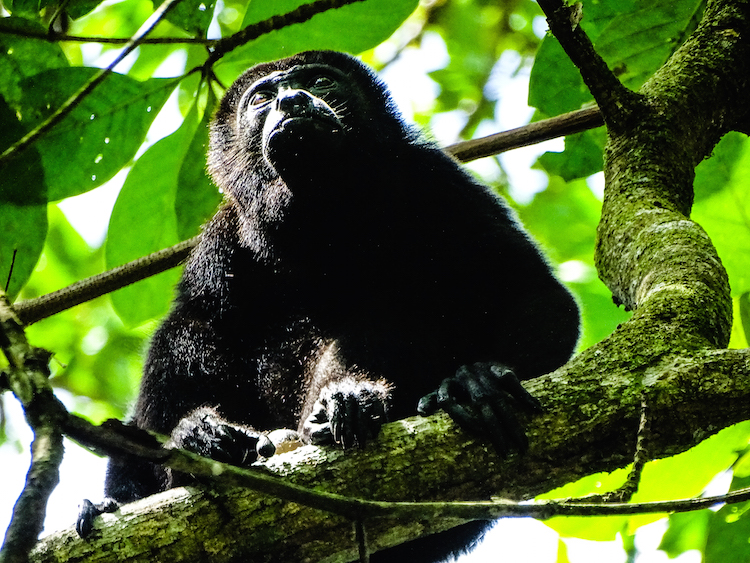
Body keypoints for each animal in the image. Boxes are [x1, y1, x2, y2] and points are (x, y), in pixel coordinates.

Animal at [78, 50, 580, 560]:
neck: (326, 219)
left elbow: (537, 297)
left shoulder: (440, 184)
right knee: (187, 338)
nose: (293, 100)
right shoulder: (221, 242)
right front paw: (193, 439)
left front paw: (475, 382)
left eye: (320, 81)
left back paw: (347, 402)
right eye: (262, 98)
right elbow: (185, 335)